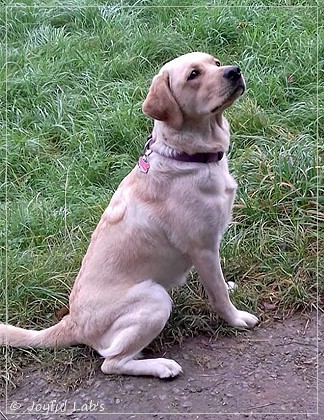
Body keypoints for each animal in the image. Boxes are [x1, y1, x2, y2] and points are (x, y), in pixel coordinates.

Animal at [0, 51, 258, 378]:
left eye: (215, 63)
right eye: (193, 75)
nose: (234, 71)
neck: (184, 155)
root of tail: (73, 322)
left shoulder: (210, 250)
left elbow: (218, 284)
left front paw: (228, 286)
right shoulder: (203, 248)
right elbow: (218, 296)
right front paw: (236, 319)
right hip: (155, 299)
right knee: (111, 363)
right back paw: (161, 366)